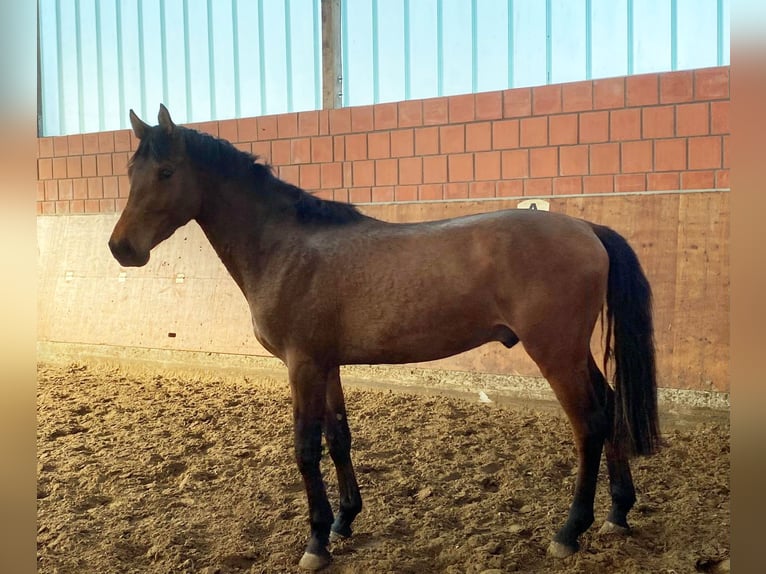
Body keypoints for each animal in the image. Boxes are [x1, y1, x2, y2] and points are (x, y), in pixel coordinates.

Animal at [108, 105, 661, 571]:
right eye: (131, 173)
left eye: (165, 172)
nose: (121, 249)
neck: (285, 246)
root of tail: (586, 228)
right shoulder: (326, 364)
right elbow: (338, 439)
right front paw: (343, 521)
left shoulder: (301, 365)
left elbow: (305, 448)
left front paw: (316, 543)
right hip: (573, 352)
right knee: (611, 407)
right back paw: (618, 514)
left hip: (555, 353)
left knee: (589, 424)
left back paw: (570, 531)